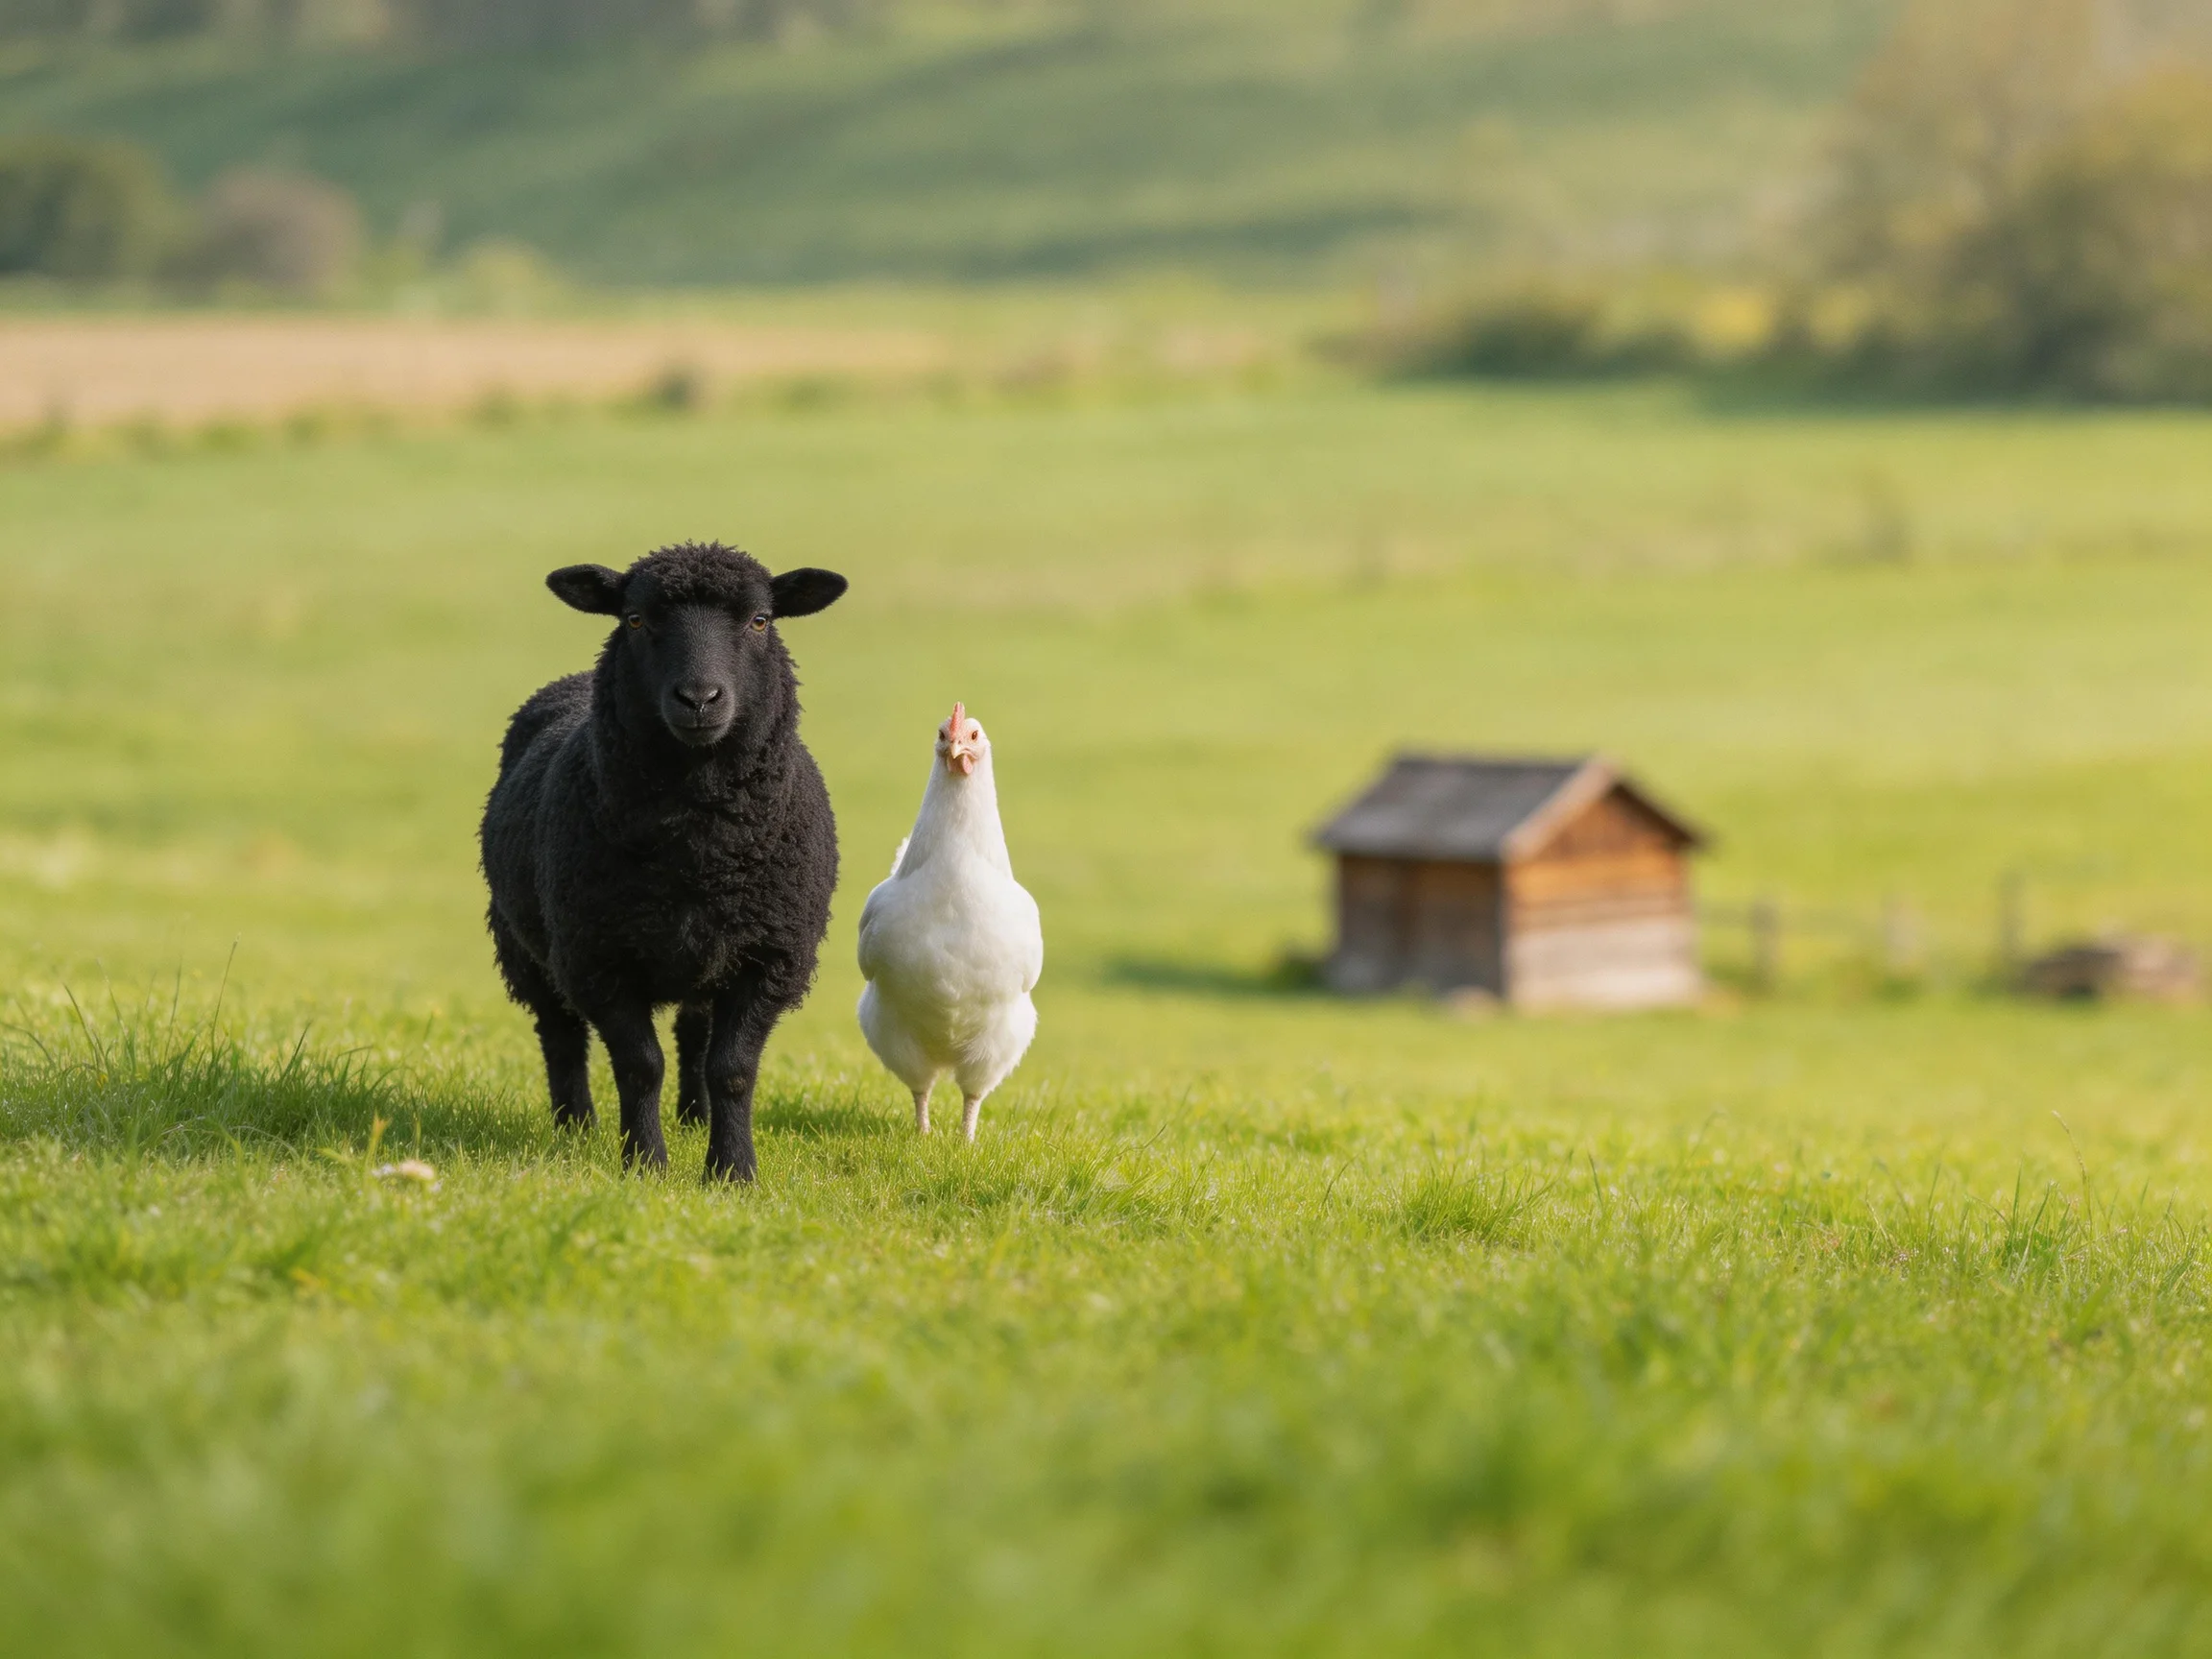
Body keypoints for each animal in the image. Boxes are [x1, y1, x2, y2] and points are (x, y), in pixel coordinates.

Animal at [479, 540, 847, 1182]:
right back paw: (575, 1126)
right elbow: (640, 1066)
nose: (699, 699)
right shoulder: (598, 959)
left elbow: (732, 1069)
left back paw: (694, 1118)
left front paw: (732, 1172)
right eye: (634, 619)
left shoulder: (770, 956)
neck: (697, 849)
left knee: (693, 1035)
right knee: (560, 1033)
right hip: (525, 944)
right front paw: (645, 1164)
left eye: (760, 620)